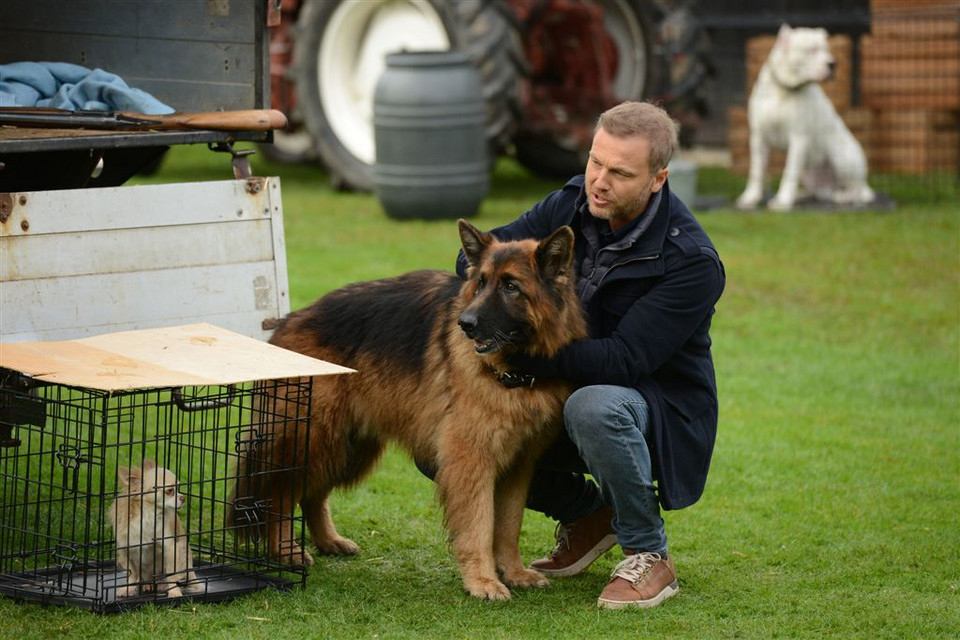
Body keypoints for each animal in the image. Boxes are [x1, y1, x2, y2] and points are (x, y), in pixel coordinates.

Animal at [109, 458, 199, 596]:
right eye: (169, 490)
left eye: (178, 488)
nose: (183, 498)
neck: (148, 513)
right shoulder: (126, 548)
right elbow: (132, 572)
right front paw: (128, 588)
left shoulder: (170, 547)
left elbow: (171, 574)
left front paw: (174, 592)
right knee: (141, 576)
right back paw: (146, 585)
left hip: (185, 560)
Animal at [236, 220, 588, 600]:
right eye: (480, 283)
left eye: (511, 286)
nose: (465, 323)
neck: (517, 370)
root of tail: (287, 322)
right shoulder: (470, 462)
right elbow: (479, 526)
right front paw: (482, 581)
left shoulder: (519, 466)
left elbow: (509, 526)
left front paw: (513, 572)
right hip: (314, 438)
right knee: (279, 495)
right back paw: (286, 552)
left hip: (348, 446)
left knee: (312, 494)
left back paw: (328, 540)